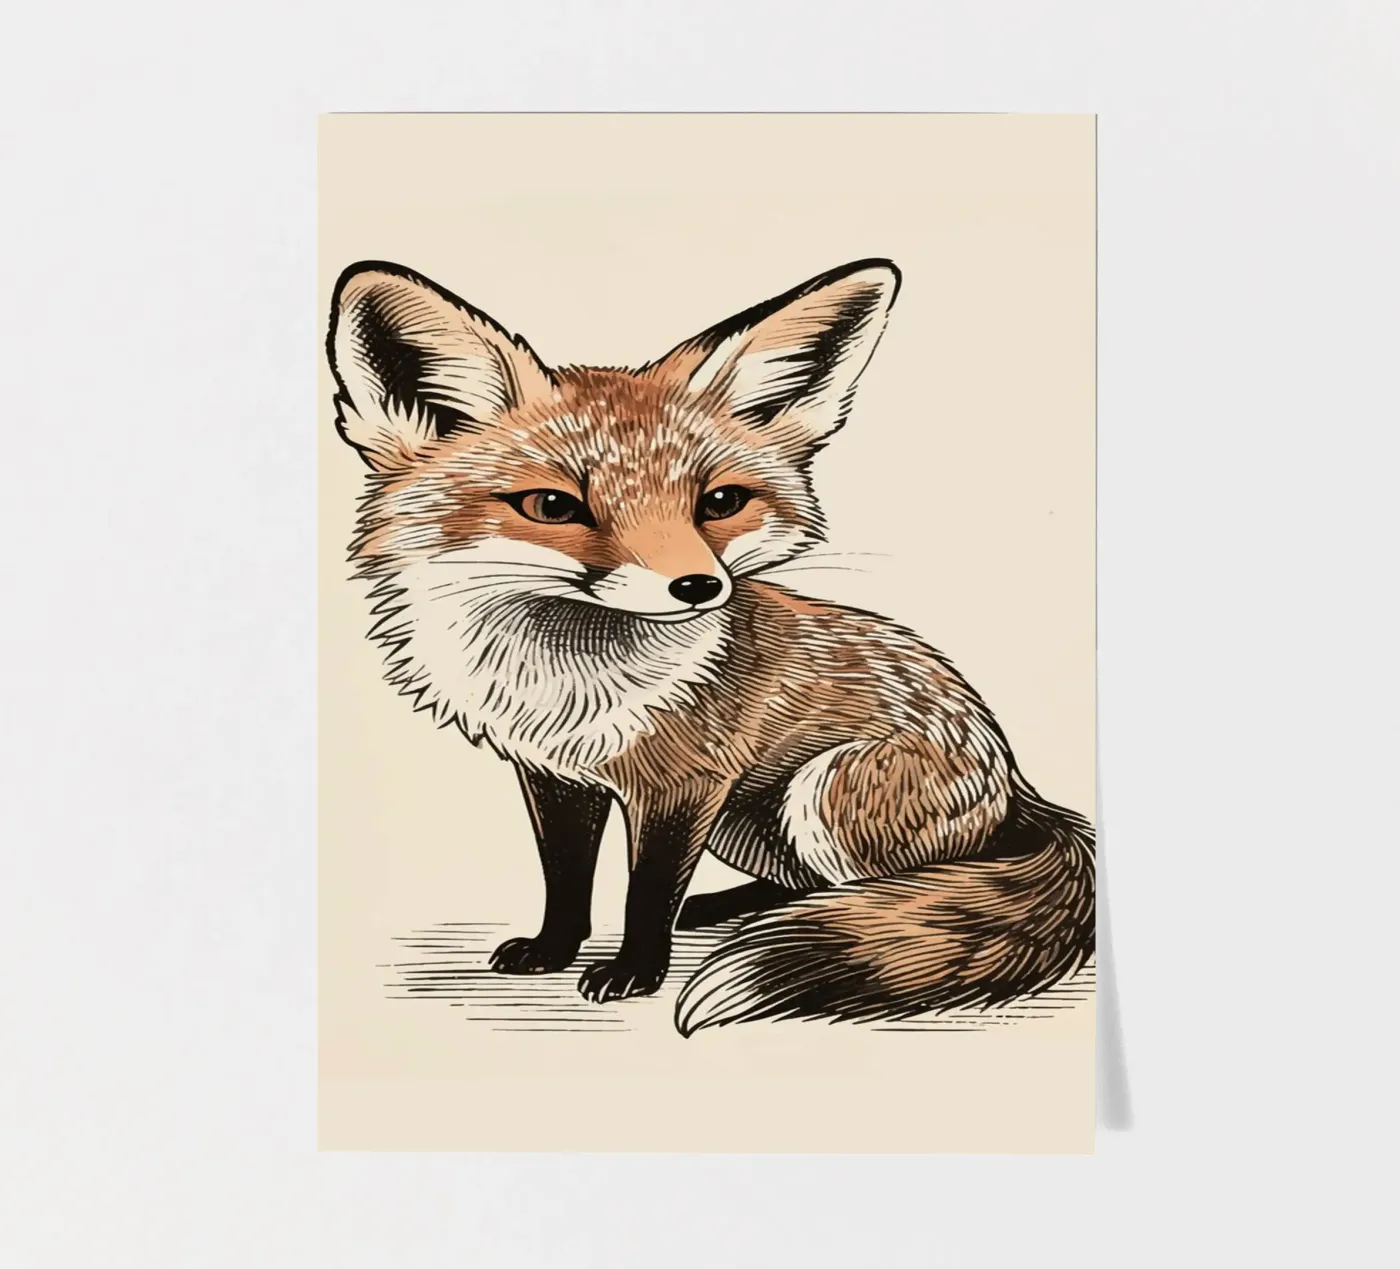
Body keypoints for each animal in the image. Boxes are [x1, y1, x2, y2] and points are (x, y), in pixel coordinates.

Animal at [326, 256, 1095, 1035]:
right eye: (552, 506)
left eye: (719, 502)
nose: (697, 586)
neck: (566, 684)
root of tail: (1017, 783)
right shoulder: (557, 777)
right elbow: (566, 878)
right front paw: (553, 949)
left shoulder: (686, 783)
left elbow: (646, 892)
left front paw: (634, 971)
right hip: (745, 822)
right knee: (805, 886)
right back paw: (727, 907)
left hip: (819, 794)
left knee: (892, 893)